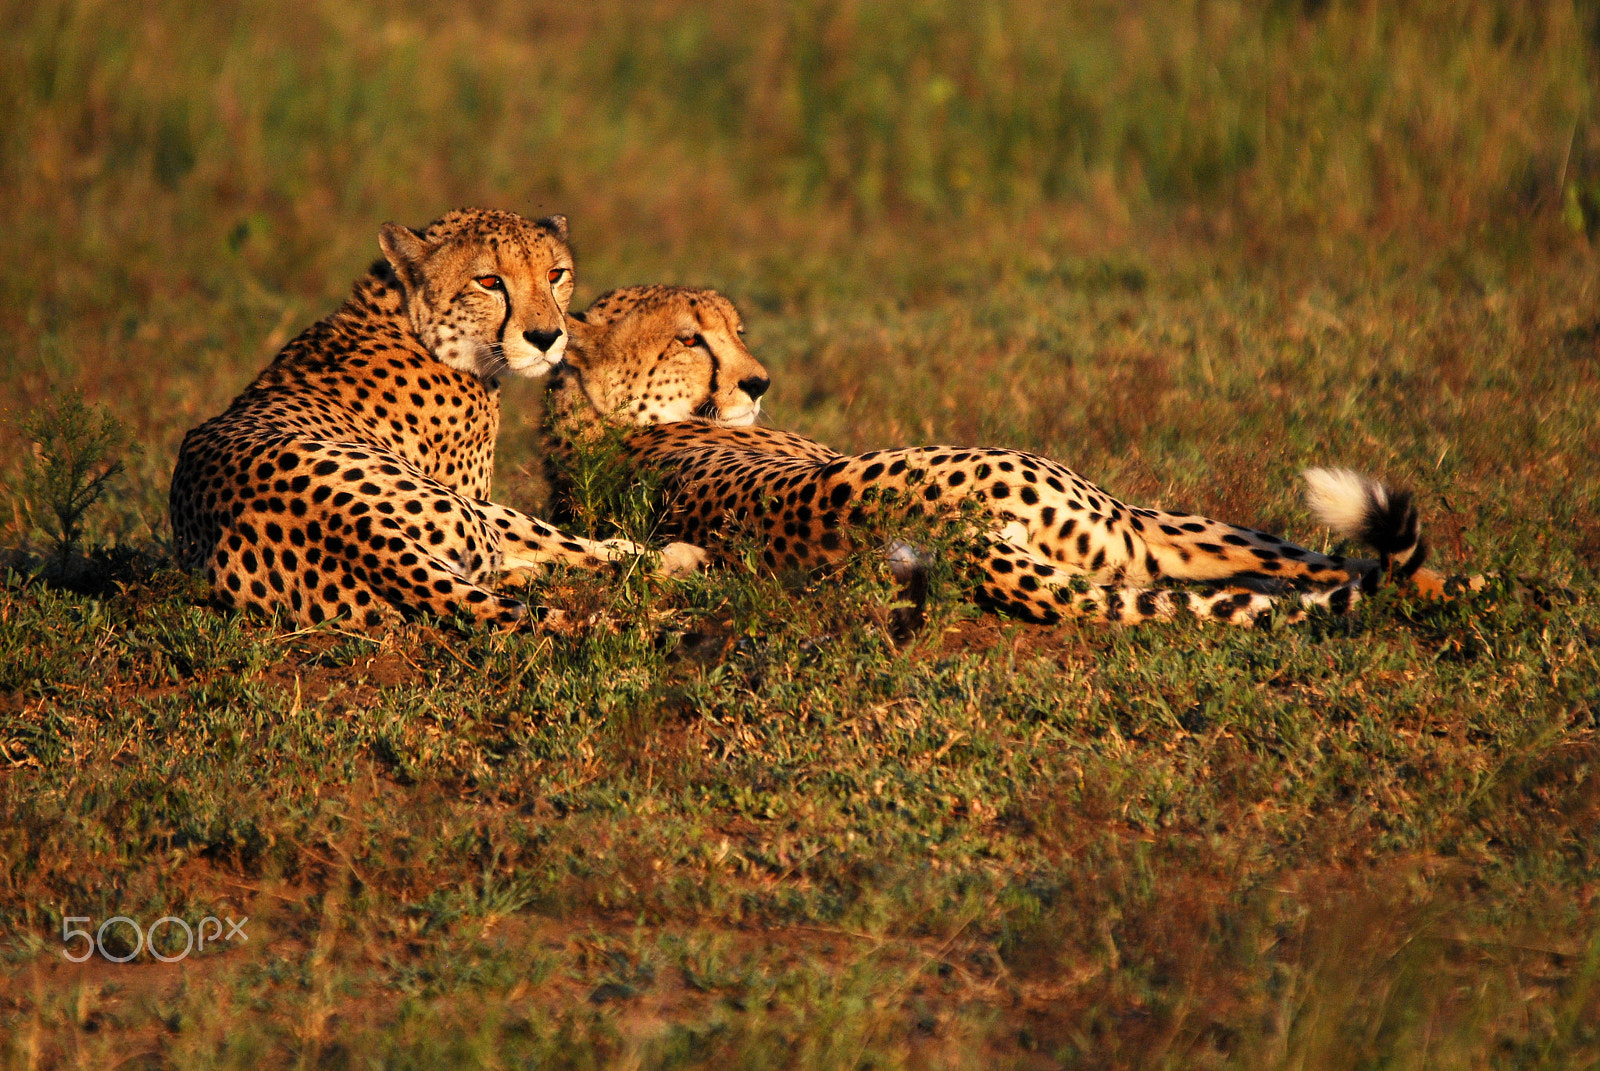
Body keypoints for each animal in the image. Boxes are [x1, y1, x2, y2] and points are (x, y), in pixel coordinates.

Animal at [169, 209, 701, 630]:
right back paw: (678, 556)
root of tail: (354, 528)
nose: (547, 337)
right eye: (489, 282)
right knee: (574, 553)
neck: (410, 319)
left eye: (555, 274)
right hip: (474, 511)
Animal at [543, 284, 1437, 629]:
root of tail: (953, 536)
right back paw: (1438, 590)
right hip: (1137, 524)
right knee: (1311, 562)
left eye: (735, 328)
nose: (760, 381)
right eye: (690, 339)